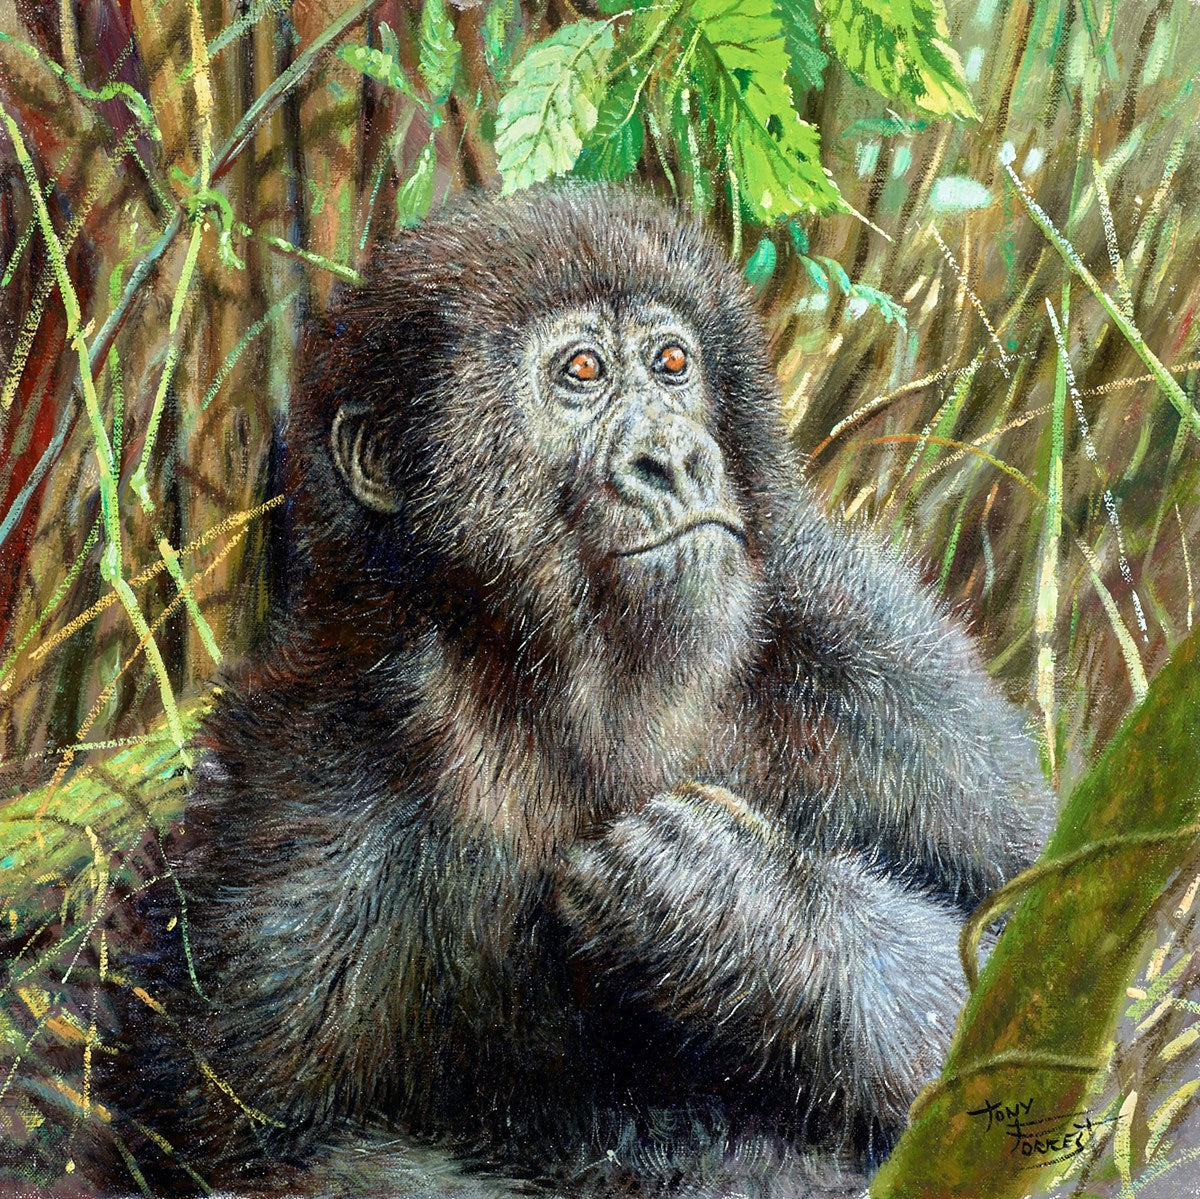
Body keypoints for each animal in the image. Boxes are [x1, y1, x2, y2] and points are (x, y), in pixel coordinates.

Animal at [94, 184, 1050, 1198]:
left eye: (673, 364)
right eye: (582, 372)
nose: (675, 458)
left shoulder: (884, 667)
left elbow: (1042, 981)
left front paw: (742, 913)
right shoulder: (307, 770)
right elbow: (254, 1141)